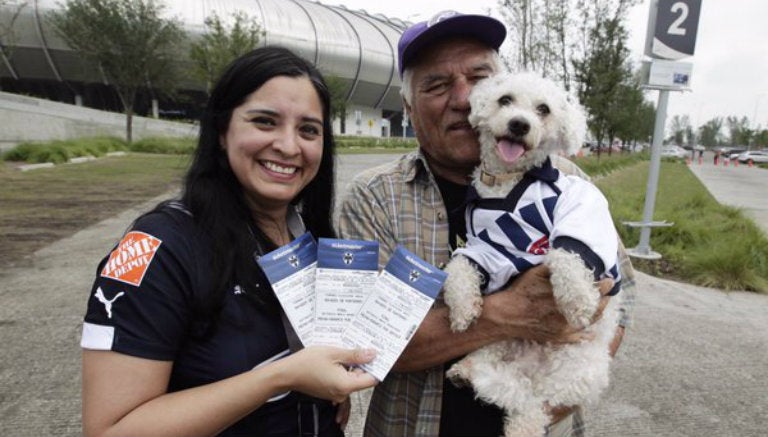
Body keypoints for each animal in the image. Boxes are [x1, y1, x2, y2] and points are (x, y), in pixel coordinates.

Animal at [444, 72, 624, 436]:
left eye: (543, 109)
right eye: (505, 100)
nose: (519, 124)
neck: (507, 180)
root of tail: (536, 369)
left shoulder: (582, 206)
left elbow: (567, 252)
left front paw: (579, 301)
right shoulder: (492, 247)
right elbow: (462, 265)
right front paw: (463, 308)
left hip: (578, 371)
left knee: (533, 404)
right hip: (499, 341)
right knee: (515, 393)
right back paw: (466, 372)